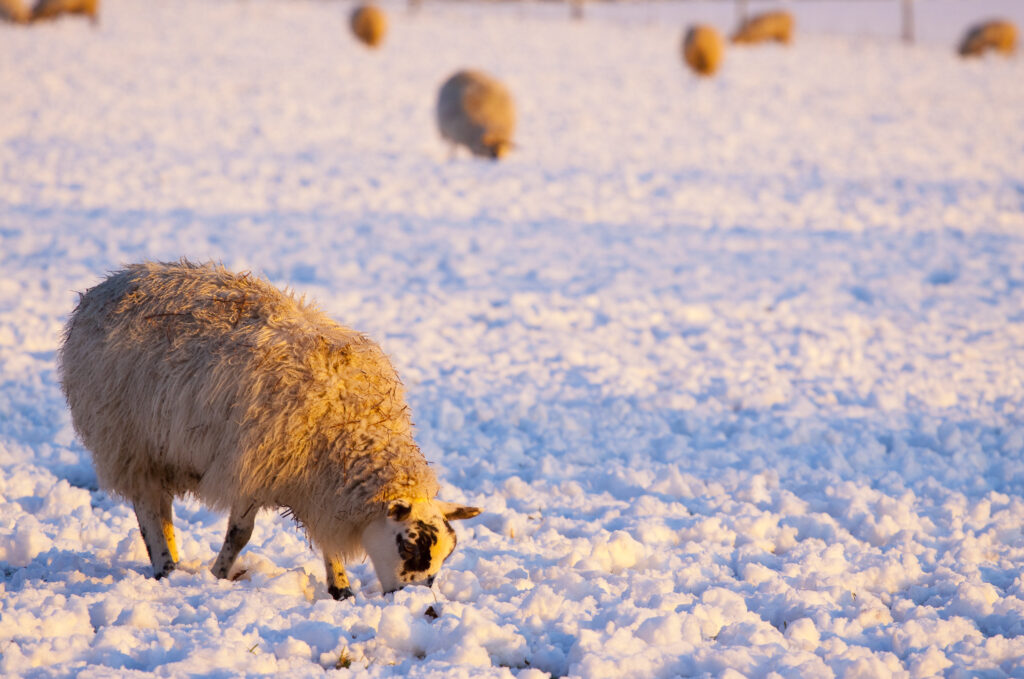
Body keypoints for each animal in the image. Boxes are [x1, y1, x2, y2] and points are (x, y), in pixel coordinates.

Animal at [58, 260, 481, 599]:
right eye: (408, 546)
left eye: (445, 555)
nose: (417, 601)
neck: (353, 425)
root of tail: (112, 282)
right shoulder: (252, 467)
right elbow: (239, 535)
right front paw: (218, 575)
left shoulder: (317, 487)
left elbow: (326, 540)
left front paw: (341, 589)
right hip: (127, 439)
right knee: (148, 508)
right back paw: (166, 566)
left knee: (162, 509)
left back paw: (174, 561)